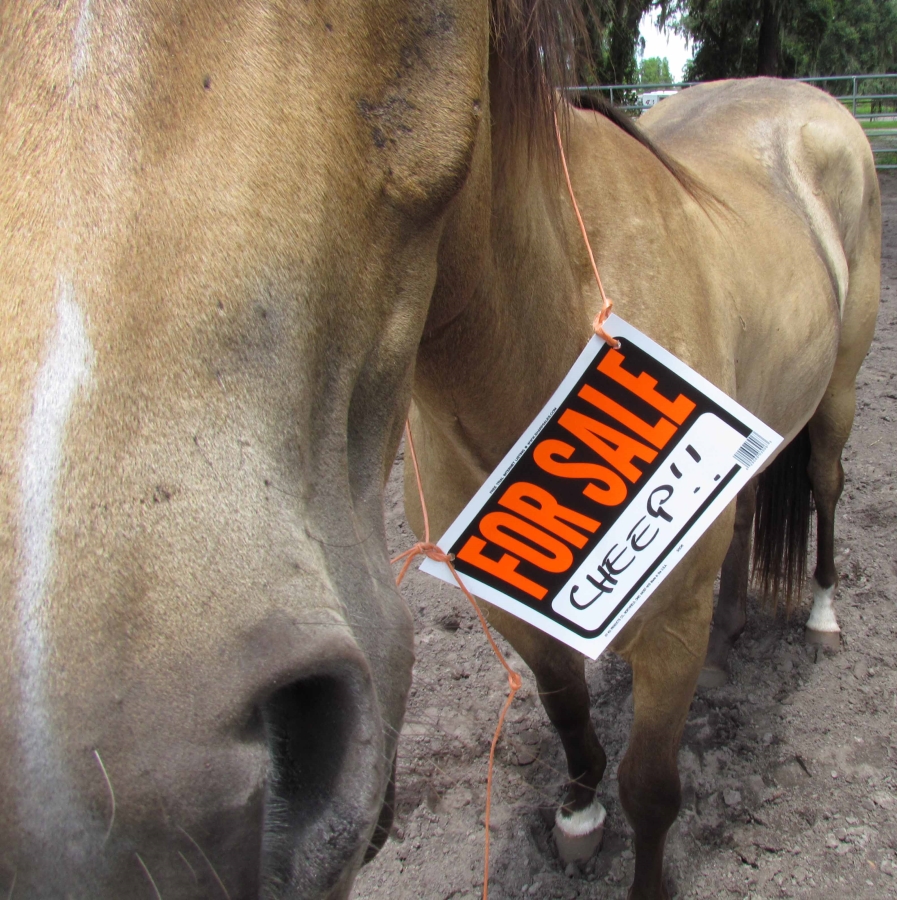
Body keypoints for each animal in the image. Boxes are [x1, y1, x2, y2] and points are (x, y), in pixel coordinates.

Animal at [0, 2, 879, 900]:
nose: (126, 824)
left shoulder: (668, 631)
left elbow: (651, 787)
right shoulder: (515, 609)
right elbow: (564, 706)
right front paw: (576, 812)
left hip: (837, 397)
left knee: (824, 483)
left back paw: (820, 615)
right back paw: (731, 632)